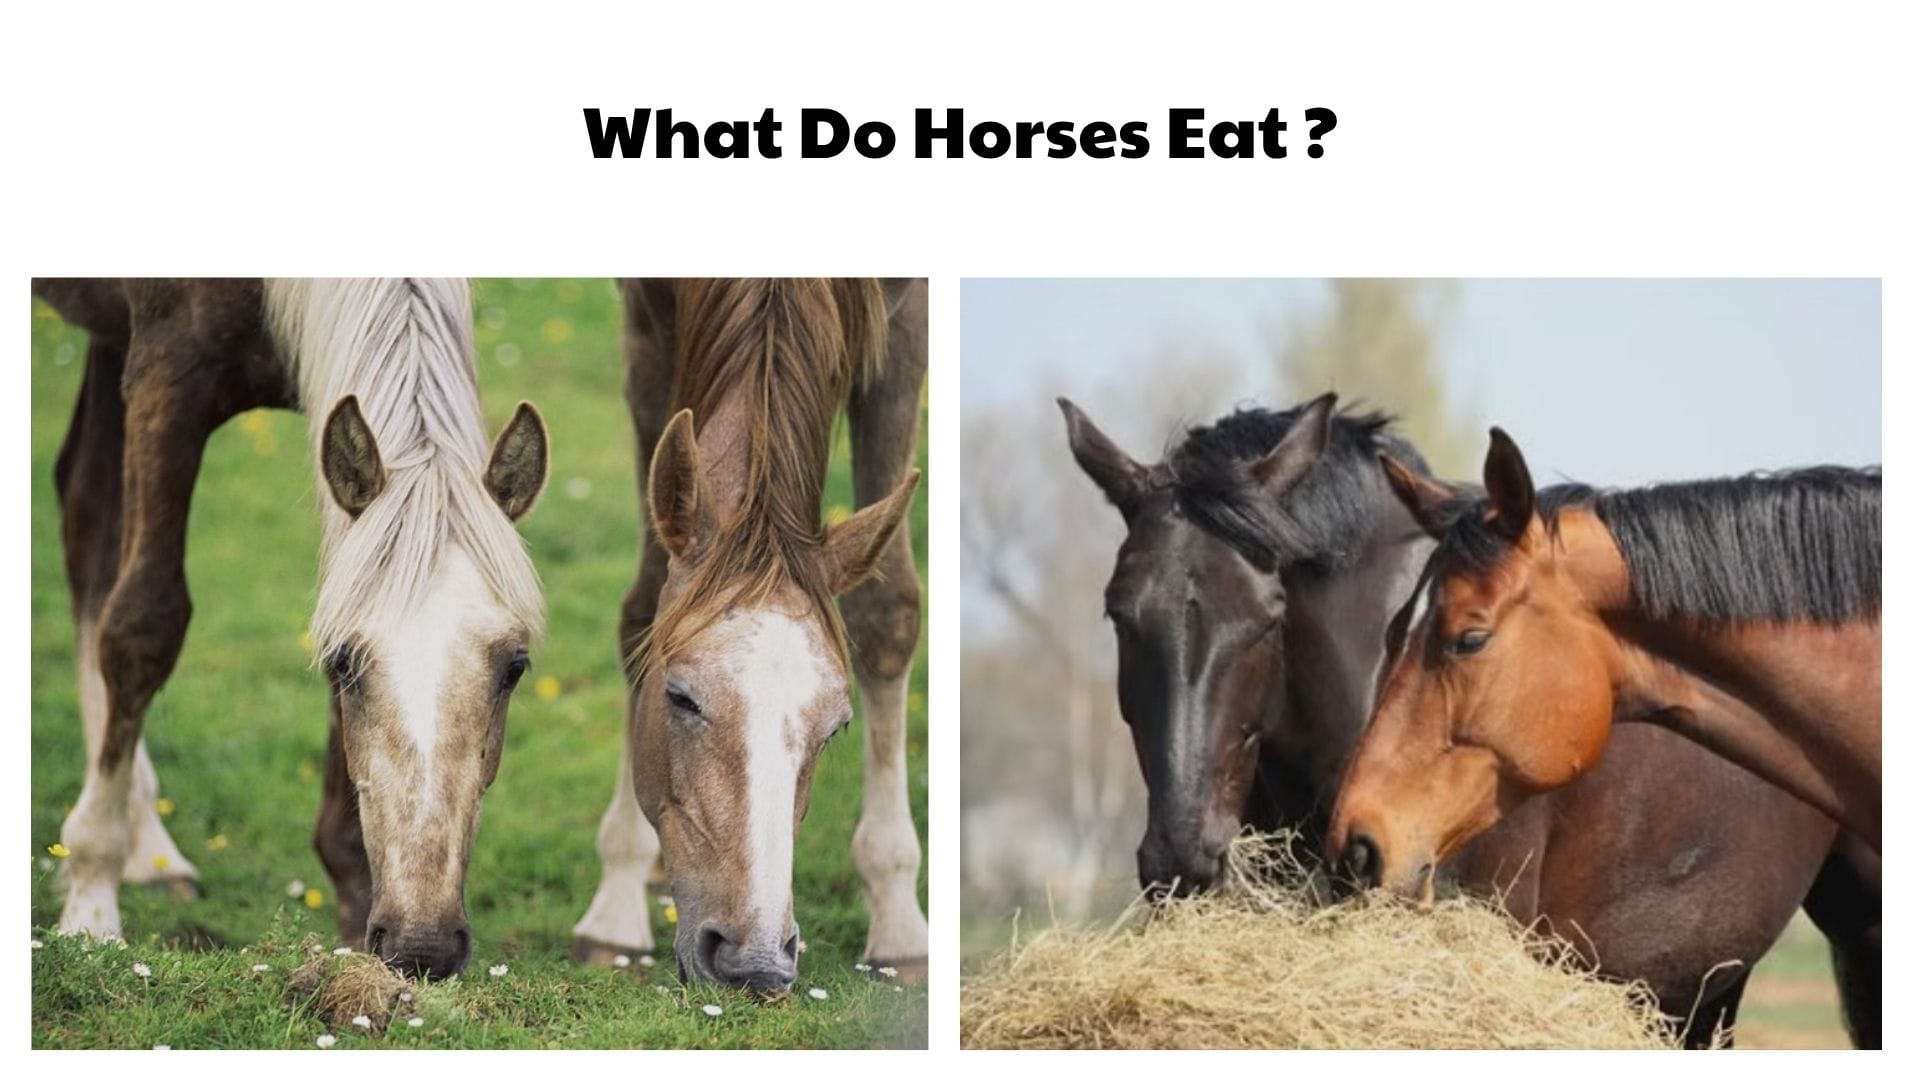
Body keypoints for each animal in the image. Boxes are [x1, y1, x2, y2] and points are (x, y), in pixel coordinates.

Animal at [36, 279, 549, 979]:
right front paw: (90, 905)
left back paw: (151, 850)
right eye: (341, 662)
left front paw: (354, 915)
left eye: (514, 666)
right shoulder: (166, 377)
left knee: (85, 510)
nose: (422, 946)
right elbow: (143, 623)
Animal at [569, 279, 927, 994]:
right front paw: (616, 901)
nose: (753, 961)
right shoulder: (649, 328)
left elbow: (888, 614)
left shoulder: (907, 331)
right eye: (679, 698)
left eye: (837, 728)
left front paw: (900, 922)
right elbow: (643, 610)